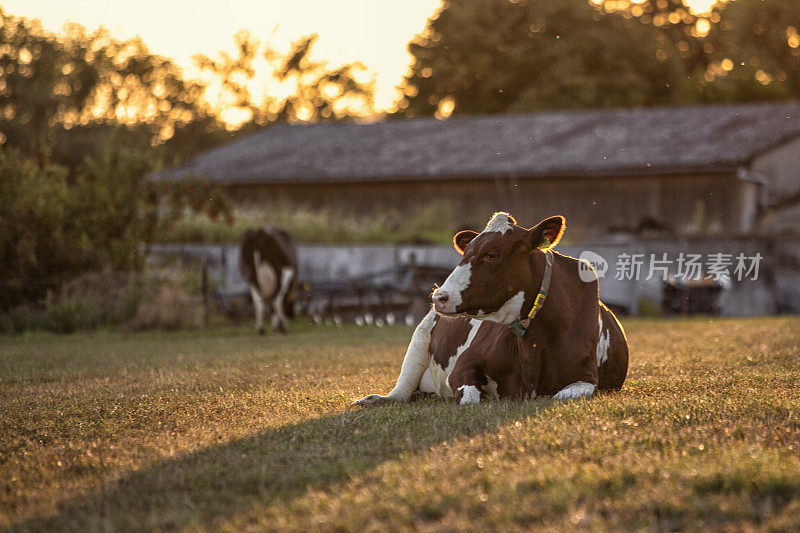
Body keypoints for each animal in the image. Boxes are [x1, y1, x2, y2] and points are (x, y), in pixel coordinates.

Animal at [354, 211, 628, 404]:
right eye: (466, 252)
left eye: (492, 254)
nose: (440, 296)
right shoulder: (463, 367)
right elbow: (471, 398)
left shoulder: (586, 379)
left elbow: (562, 395)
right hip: (419, 338)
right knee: (401, 391)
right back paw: (374, 399)